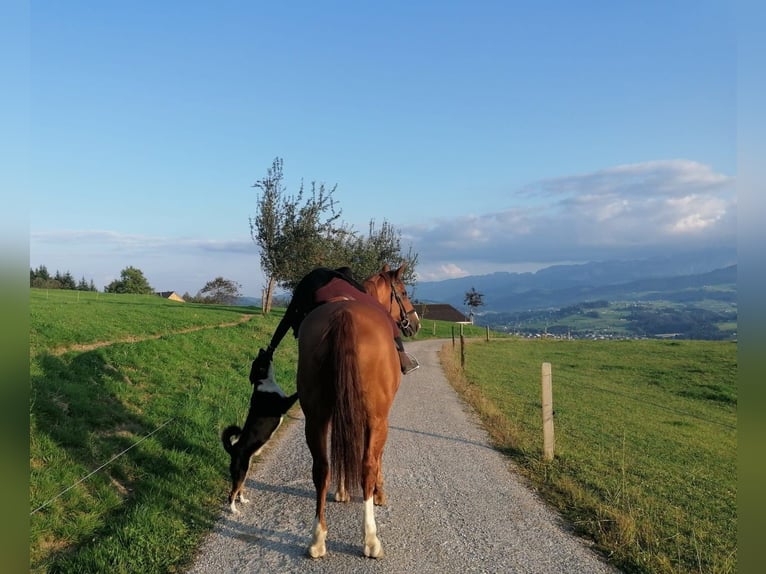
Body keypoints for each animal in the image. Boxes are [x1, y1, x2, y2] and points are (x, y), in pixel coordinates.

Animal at [296, 263, 420, 558]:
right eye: (403, 292)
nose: (415, 323)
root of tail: (344, 316)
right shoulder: (379, 418)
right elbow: (374, 460)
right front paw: (379, 494)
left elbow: (341, 448)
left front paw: (342, 492)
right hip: (376, 419)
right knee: (367, 467)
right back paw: (371, 539)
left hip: (315, 418)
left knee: (322, 468)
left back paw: (318, 538)